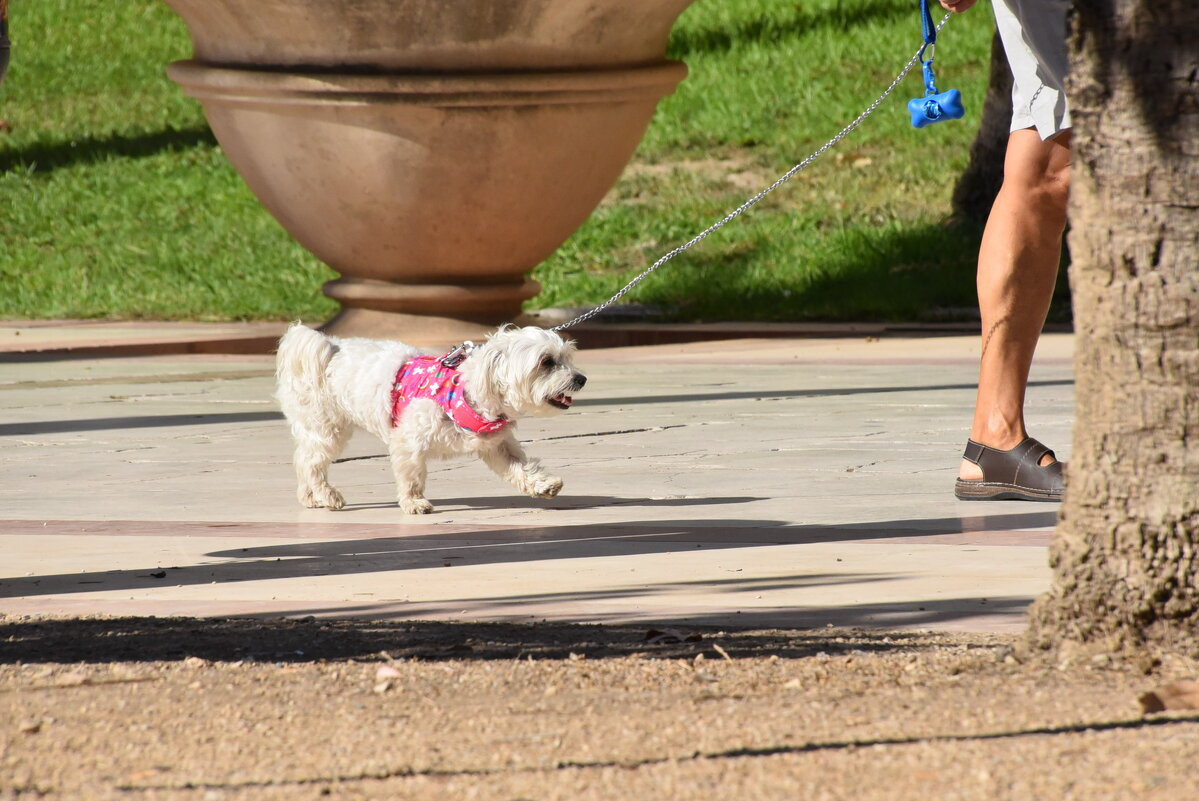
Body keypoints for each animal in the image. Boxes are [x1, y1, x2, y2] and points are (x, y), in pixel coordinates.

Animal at [275, 323, 585, 513]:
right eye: (546, 362)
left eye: (567, 358)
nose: (581, 379)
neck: (467, 391)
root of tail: (329, 347)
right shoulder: (408, 442)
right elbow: (411, 476)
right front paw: (414, 503)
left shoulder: (497, 445)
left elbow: (521, 468)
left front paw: (542, 485)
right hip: (327, 428)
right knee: (311, 464)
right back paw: (327, 495)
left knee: (303, 459)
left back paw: (309, 497)